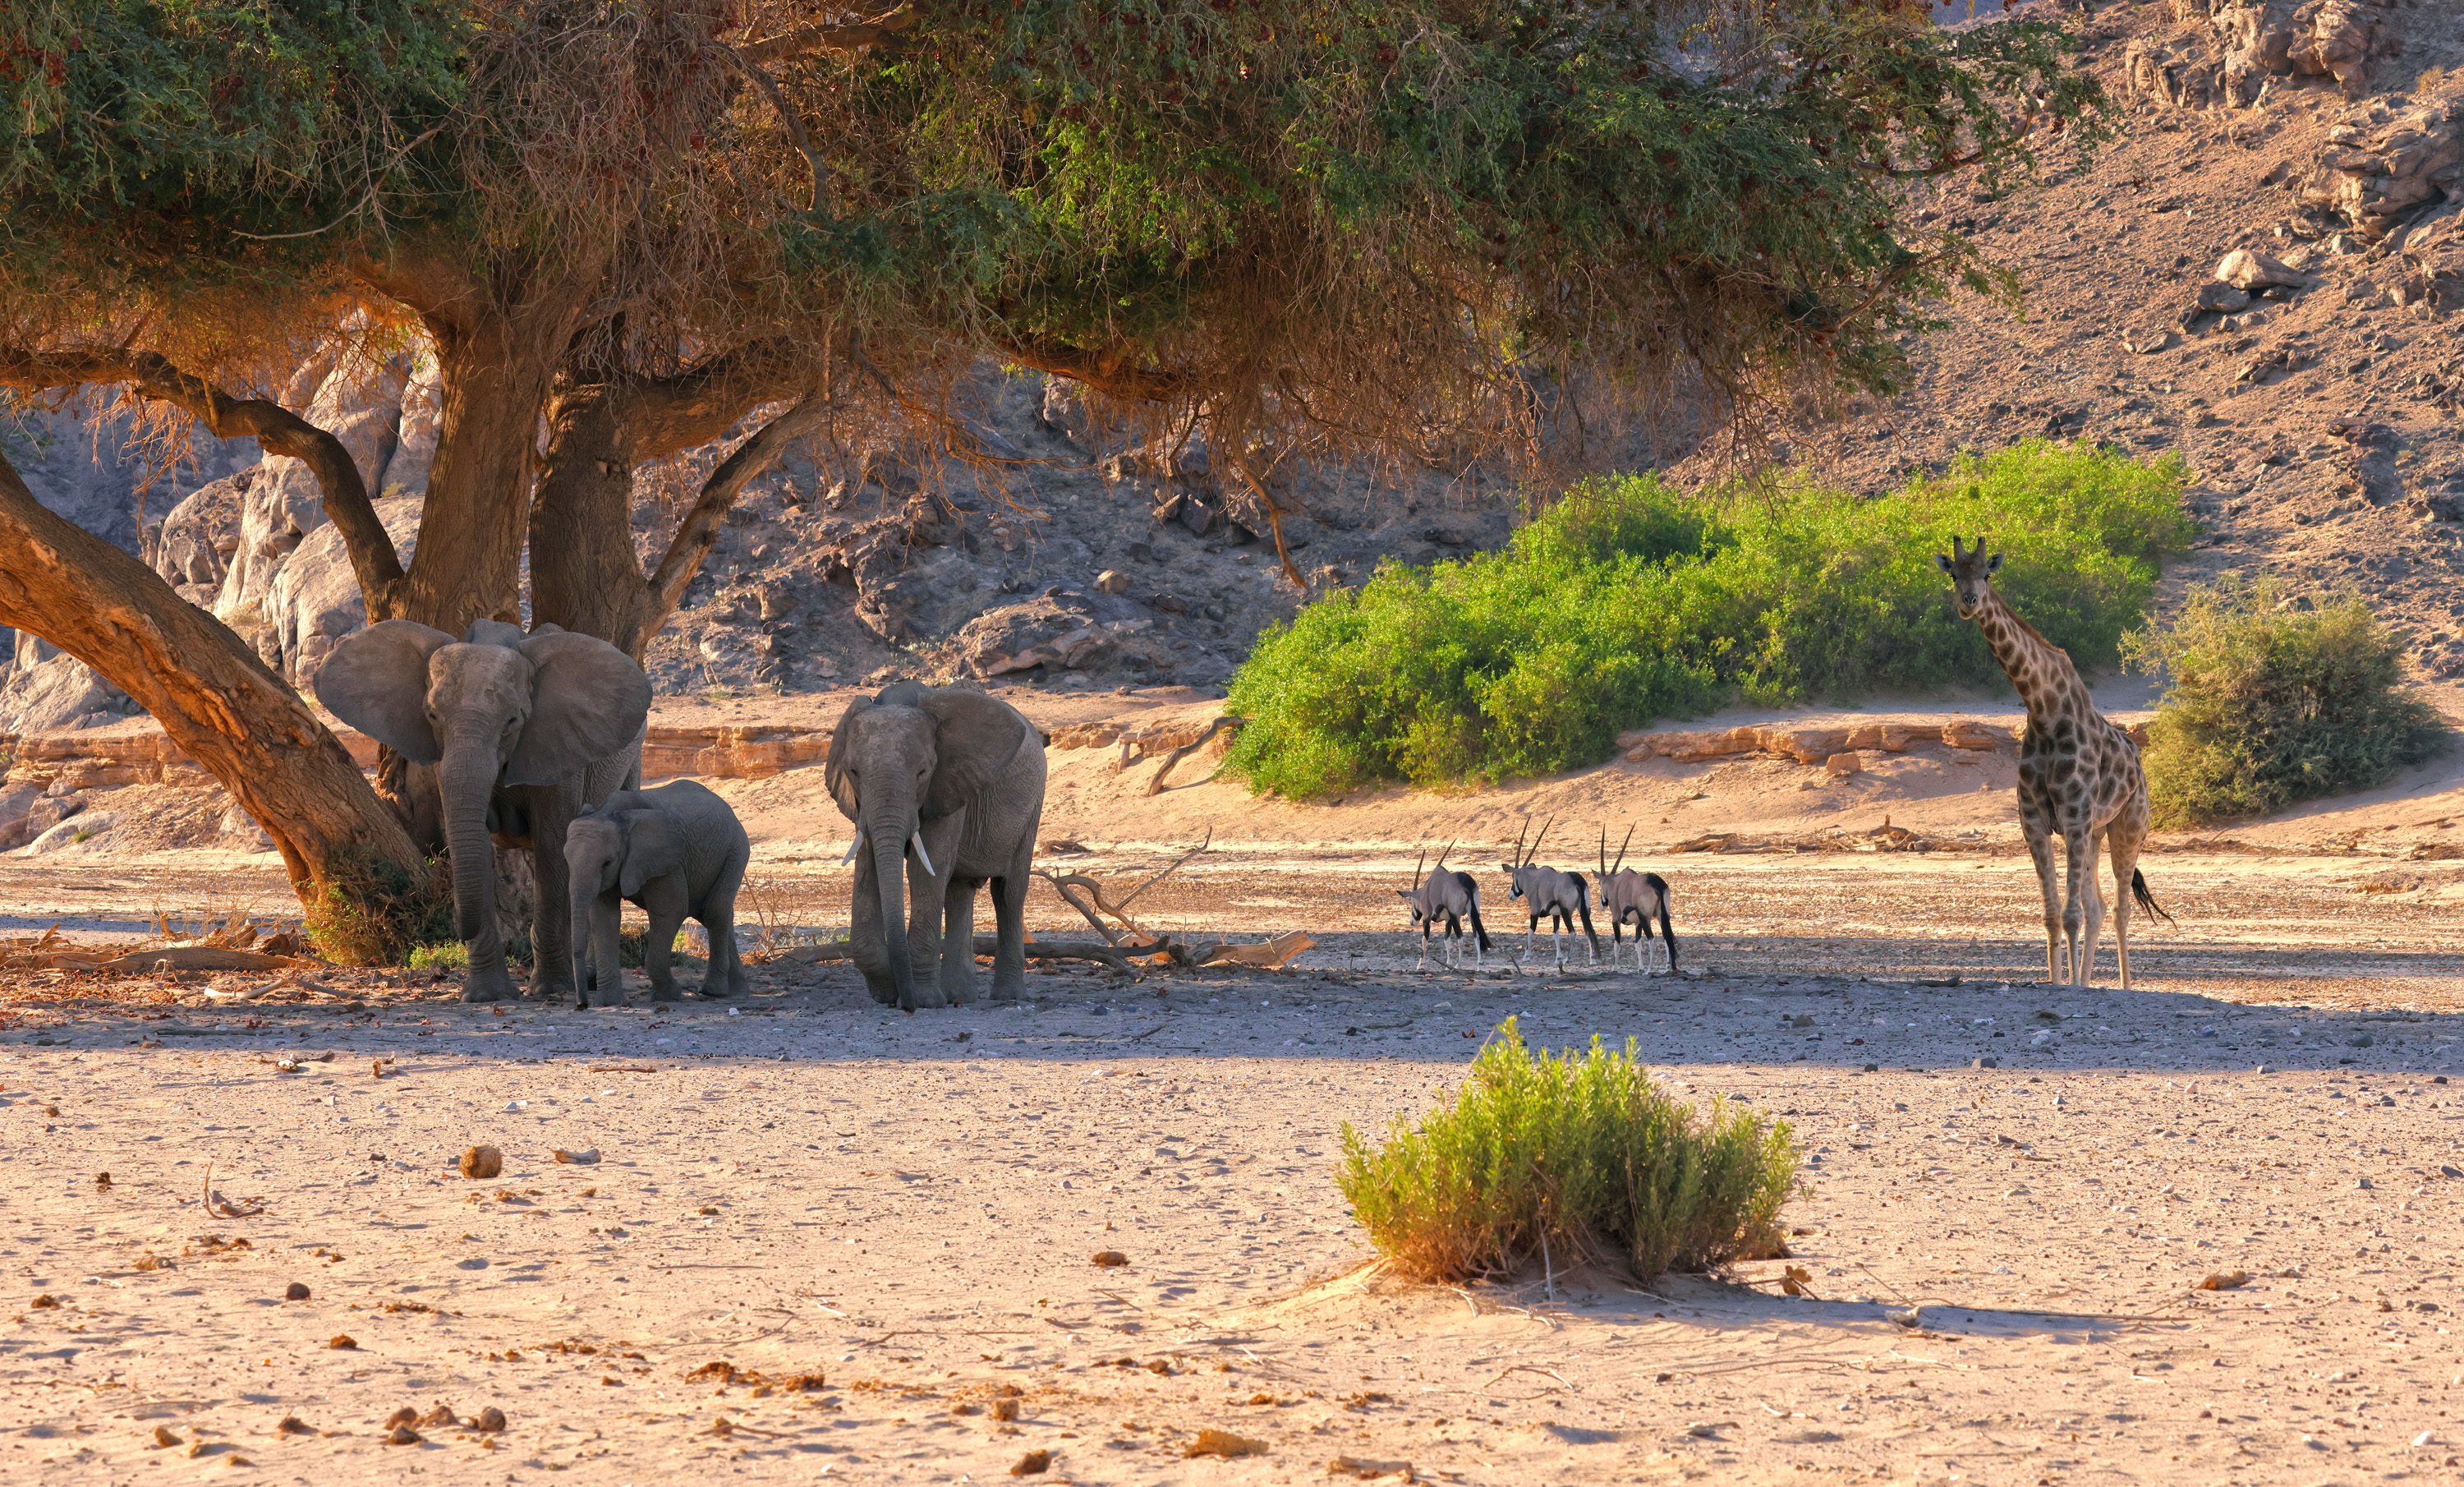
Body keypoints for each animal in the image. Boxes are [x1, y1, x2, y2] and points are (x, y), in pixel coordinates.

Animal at [315, 618, 651, 1003]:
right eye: (432, 715)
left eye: (513, 721)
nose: (454, 932)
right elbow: (474, 845)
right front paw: (486, 996)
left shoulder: (559, 751)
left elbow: (554, 848)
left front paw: (550, 990)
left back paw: (590, 981)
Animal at [564, 780, 750, 1006]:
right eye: (566, 860)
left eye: (606, 863)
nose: (581, 1006)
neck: (611, 813)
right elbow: (604, 917)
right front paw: (611, 1003)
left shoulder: (667, 860)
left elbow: (670, 911)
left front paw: (669, 995)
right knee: (716, 914)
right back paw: (738, 991)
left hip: (736, 850)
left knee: (715, 912)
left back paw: (714, 991)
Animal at [825, 681, 1046, 1009]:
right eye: (854, 772)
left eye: (923, 772)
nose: (906, 1006)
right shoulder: (861, 805)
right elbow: (869, 866)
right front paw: (887, 994)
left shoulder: (949, 784)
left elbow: (926, 869)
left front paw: (926, 1000)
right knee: (959, 891)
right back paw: (960, 996)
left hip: (1033, 804)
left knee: (1008, 894)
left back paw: (1007, 997)